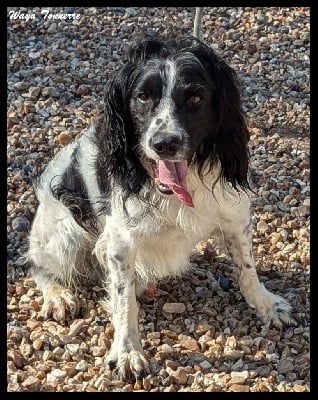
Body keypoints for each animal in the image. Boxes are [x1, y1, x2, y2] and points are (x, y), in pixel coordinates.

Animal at [24, 36, 296, 382]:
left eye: (195, 96)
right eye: (143, 96)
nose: (164, 144)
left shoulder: (234, 216)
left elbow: (247, 268)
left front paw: (266, 305)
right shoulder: (120, 241)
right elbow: (124, 300)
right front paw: (127, 352)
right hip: (64, 233)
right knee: (37, 264)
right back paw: (58, 295)